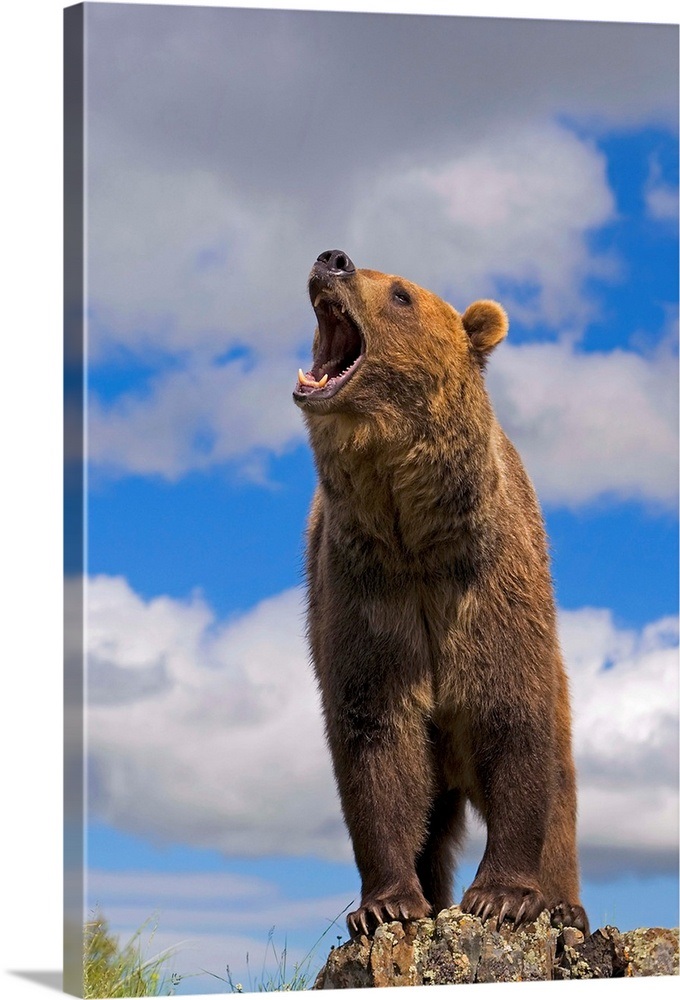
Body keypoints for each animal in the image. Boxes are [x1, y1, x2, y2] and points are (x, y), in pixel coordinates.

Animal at [293, 249, 588, 939]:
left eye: (401, 294)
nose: (332, 260)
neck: (412, 535)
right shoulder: (369, 594)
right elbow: (376, 741)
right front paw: (387, 903)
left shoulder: (486, 588)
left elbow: (515, 724)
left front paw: (502, 896)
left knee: (560, 786)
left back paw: (563, 903)